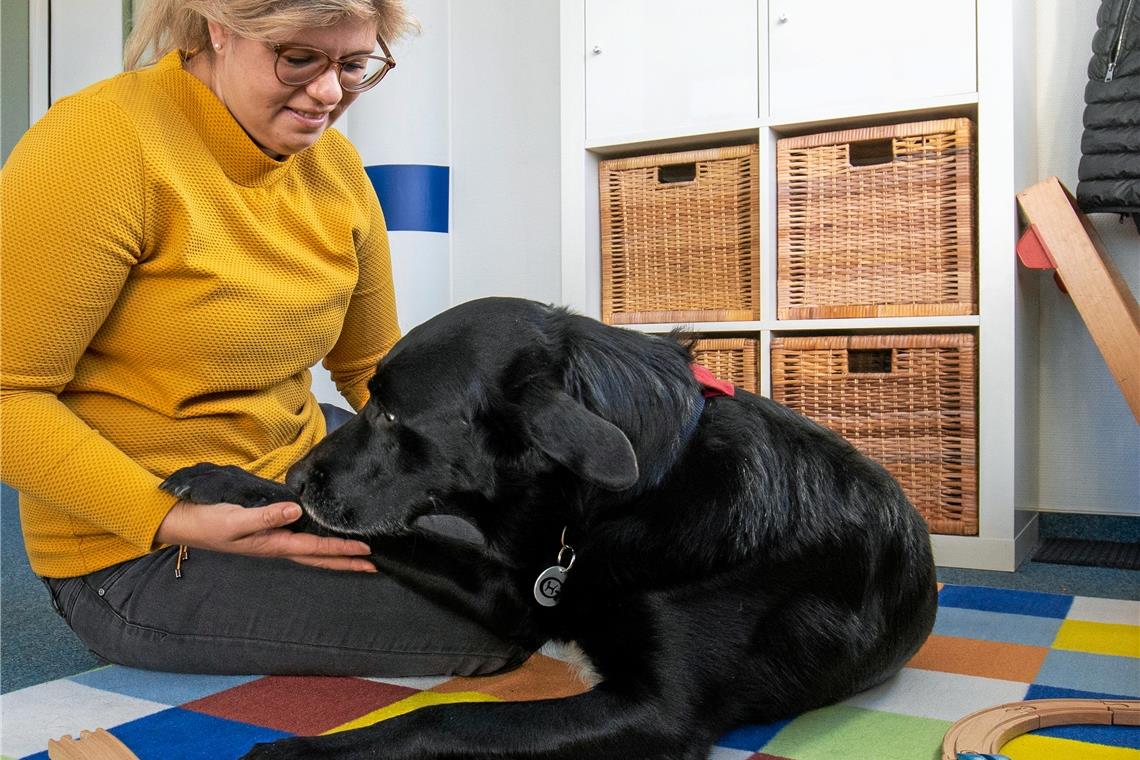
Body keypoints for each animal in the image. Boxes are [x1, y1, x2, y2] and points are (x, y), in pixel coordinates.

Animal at [163, 296, 943, 760]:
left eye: (388, 414)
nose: (298, 477)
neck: (614, 508)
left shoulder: (658, 712)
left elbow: (440, 719)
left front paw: (305, 751)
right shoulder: (512, 592)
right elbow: (392, 535)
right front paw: (232, 484)